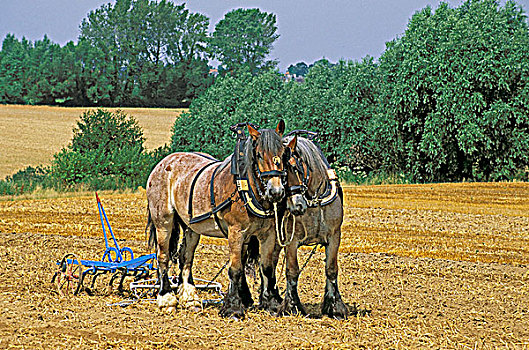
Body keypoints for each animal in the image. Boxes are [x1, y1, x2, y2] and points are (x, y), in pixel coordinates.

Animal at [145, 121, 296, 320]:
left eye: (283, 153)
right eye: (259, 155)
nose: (276, 191)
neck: (246, 187)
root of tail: (163, 163)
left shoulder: (267, 235)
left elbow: (266, 267)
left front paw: (270, 304)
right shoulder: (236, 232)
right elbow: (236, 269)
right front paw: (233, 308)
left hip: (192, 227)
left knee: (186, 257)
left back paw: (190, 298)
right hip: (163, 221)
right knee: (163, 256)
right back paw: (167, 299)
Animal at [278, 134, 348, 320]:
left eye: (295, 168)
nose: (296, 206)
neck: (314, 201)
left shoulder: (334, 237)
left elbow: (331, 269)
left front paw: (334, 307)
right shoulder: (291, 241)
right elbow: (292, 271)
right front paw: (292, 306)